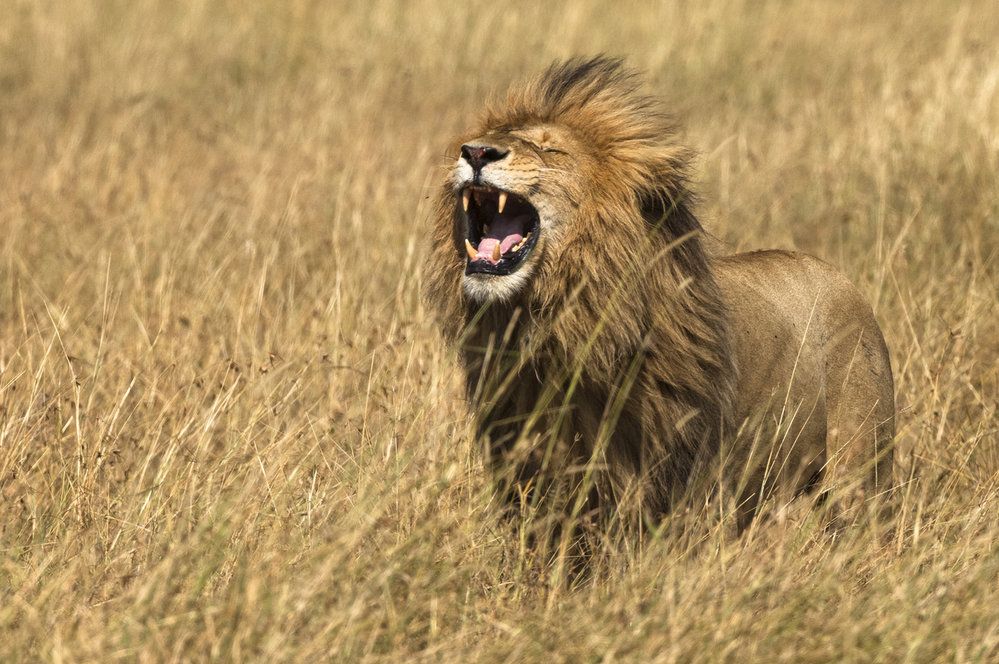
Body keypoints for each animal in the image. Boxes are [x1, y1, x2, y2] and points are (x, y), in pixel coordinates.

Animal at [426, 57, 896, 536]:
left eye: (551, 150)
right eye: (485, 140)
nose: (475, 153)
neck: (554, 326)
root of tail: (839, 275)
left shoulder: (682, 476)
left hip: (860, 472)